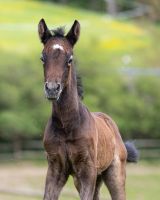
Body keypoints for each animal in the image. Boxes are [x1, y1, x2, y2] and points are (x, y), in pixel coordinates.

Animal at [37, 19, 138, 200]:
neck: (67, 125)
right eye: (42, 57)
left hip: (114, 175)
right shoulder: (55, 169)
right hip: (91, 179)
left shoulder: (86, 171)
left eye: (70, 59)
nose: (52, 89)